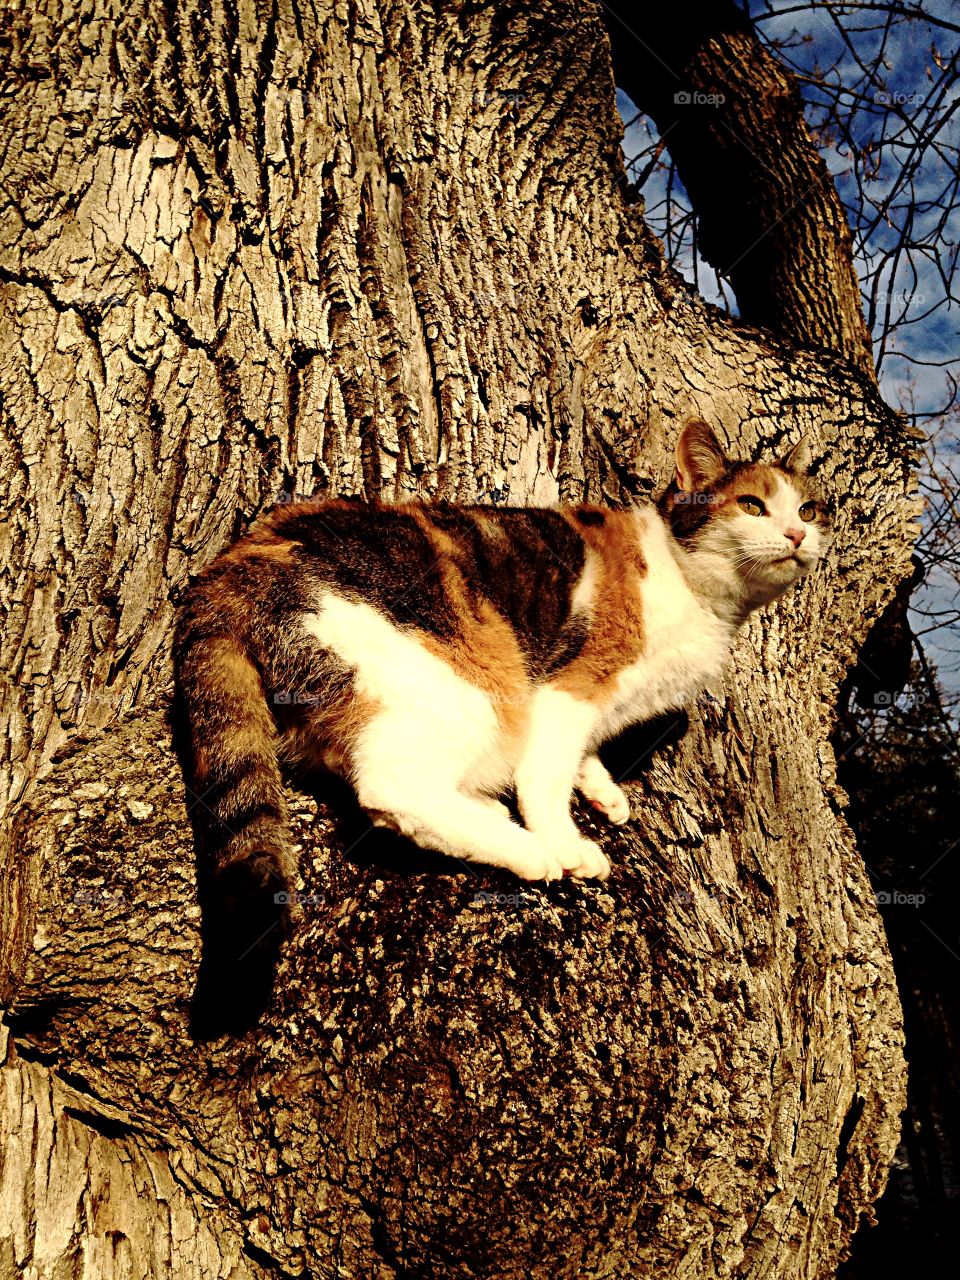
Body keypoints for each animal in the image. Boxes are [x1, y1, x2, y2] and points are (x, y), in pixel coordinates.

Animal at [175, 424, 834, 926]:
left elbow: (576, 757)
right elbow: (544, 776)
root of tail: (236, 564)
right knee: (392, 790)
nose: (798, 533)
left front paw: (602, 789)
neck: (696, 591)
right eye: (752, 506)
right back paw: (532, 851)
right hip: (464, 687)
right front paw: (564, 838)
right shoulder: (571, 687)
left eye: (808, 509)